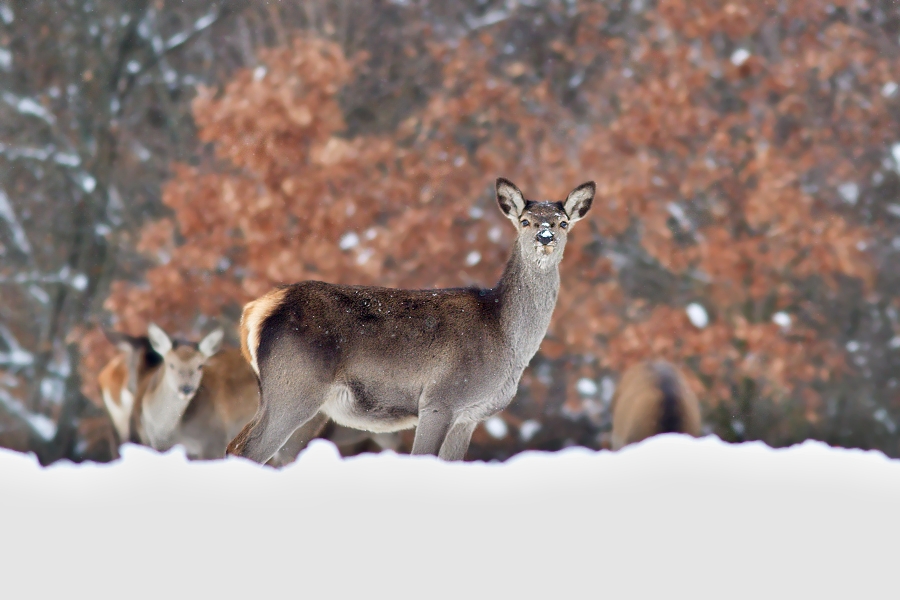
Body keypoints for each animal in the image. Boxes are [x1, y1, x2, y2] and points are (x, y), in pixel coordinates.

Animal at [225, 178, 596, 464]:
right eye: (525, 220)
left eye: (562, 222)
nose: (545, 237)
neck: (504, 337)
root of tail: (256, 309)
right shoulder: (440, 399)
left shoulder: (469, 416)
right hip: (294, 384)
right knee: (246, 449)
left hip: (305, 403)